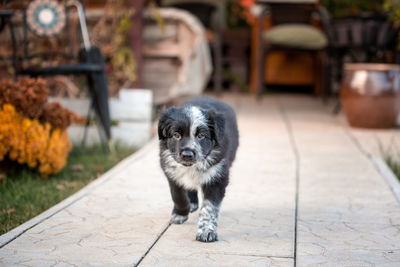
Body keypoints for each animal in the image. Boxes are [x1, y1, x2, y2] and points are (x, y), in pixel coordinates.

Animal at [156, 97, 238, 243]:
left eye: (201, 136)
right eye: (176, 135)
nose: (187, 155)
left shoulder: (217, 177)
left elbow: (209, 207)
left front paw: (206, 231)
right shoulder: (171, 173)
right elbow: (178, 195)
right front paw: (180, 214)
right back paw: (192, 203)